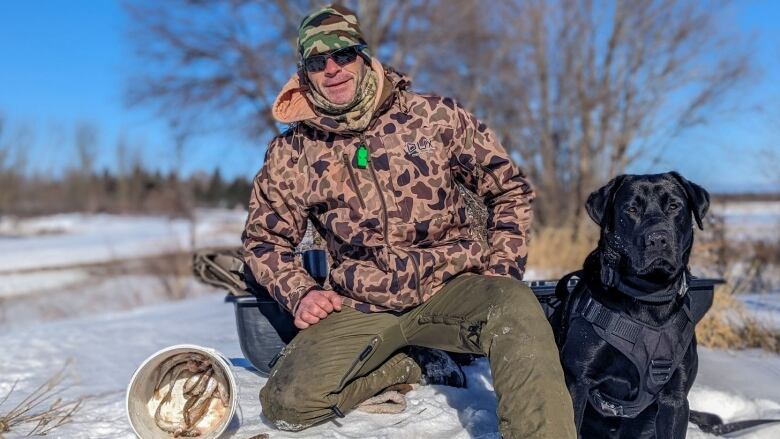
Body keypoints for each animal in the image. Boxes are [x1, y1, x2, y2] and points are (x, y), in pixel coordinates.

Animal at [556, 174, 712, 438]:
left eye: (674, 206)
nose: (657, 238)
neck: (649, 298)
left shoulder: (676, 398)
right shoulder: (577, 380)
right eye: (631, 209)